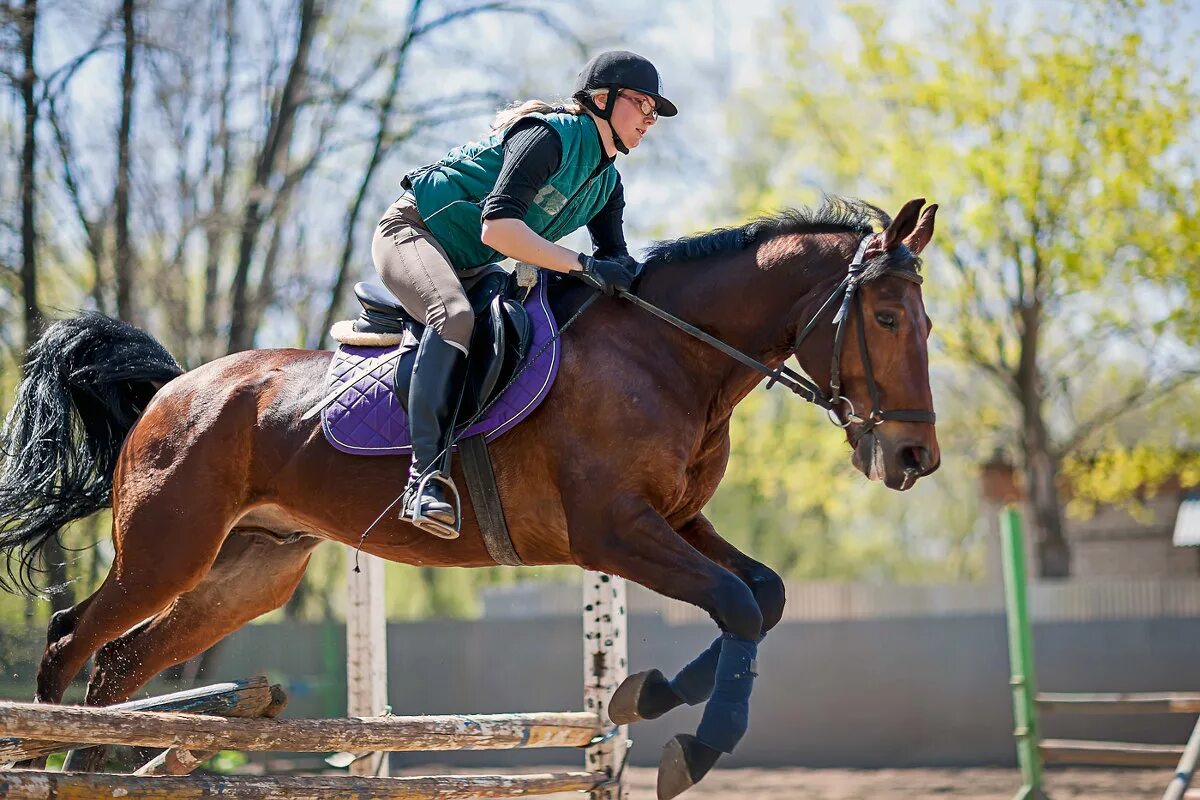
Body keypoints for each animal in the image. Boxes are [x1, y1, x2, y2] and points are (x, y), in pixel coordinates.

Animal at [0, 196, 936, 796]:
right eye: (888, 320)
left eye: (925, 325)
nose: (913, 457)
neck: (670, 354)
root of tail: (170, 388)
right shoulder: (614, 532)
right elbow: (739, 604)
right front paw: (692, 748)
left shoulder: (675, 520)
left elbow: (764, 596)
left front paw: (639, 697)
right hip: (170, 549)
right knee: (70, 639)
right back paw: (41, 763)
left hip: (249, 572)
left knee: (122, 662)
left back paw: (88, 772)